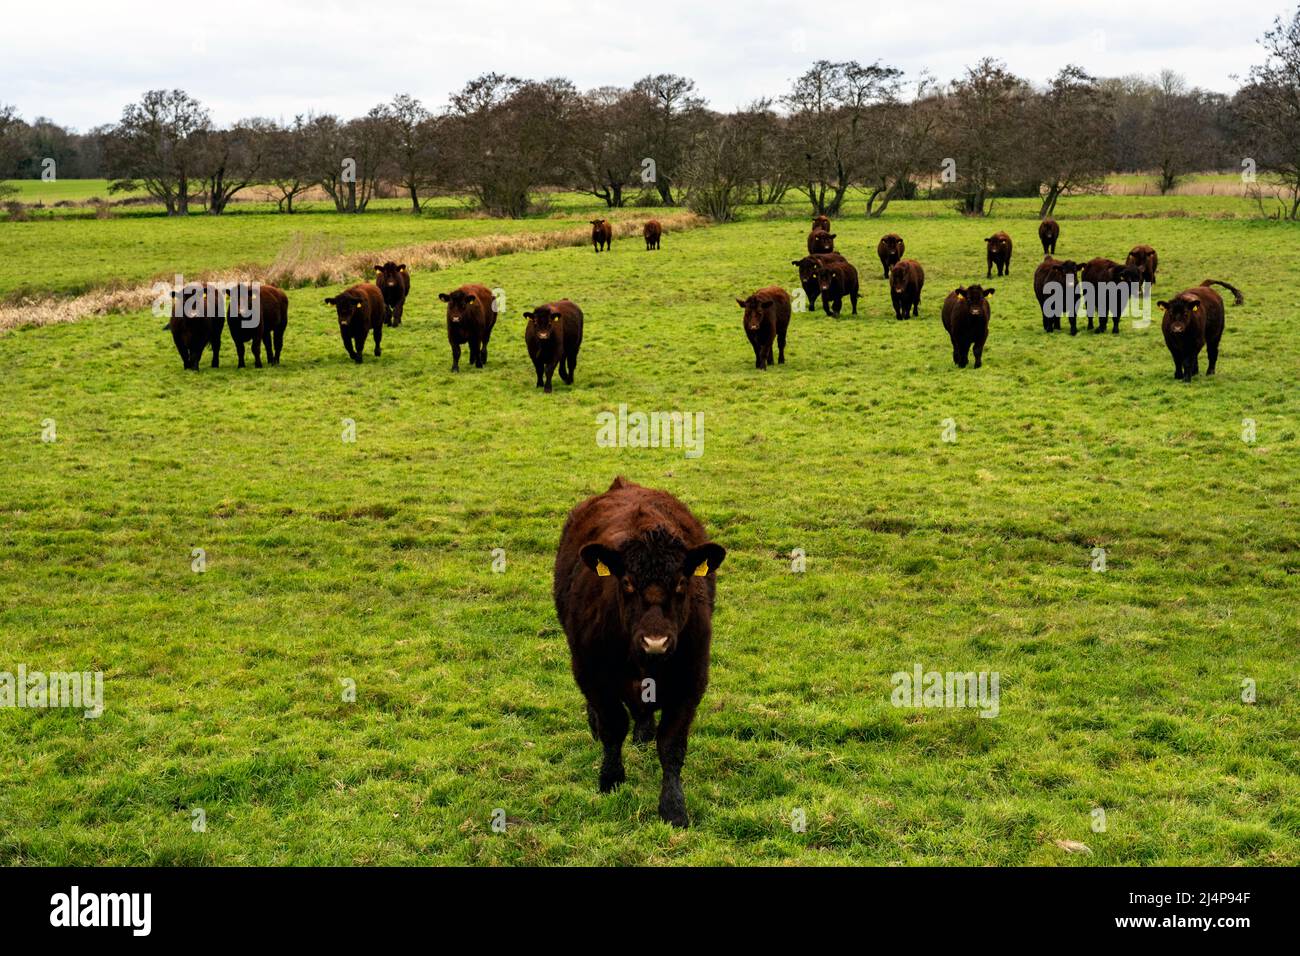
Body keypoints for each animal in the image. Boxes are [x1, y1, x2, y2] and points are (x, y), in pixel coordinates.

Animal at [553, 478, 728, 832]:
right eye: (627, 583)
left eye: (681, 583)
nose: (655, 642)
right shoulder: (592, 673)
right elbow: (613, 726)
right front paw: (610, 779)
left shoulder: (691, 680)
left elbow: (671, 745)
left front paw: (673, 808)